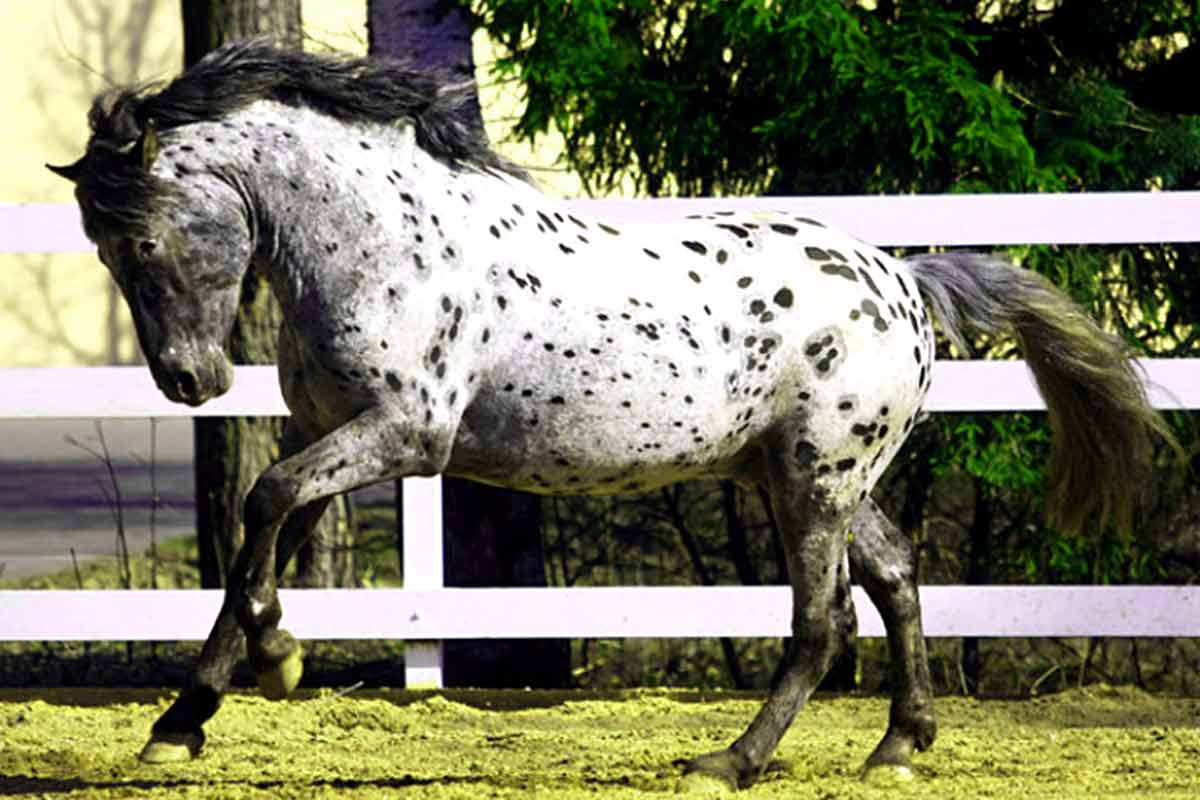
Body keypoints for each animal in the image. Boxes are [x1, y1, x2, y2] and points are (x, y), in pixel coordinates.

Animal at [48, 40, 1170, 790]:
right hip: (813, 474)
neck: (382, 241)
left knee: (823, 621)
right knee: (895, 574)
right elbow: (260, 540)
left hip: (813, 480)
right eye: (99, 249)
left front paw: (271, 667)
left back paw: (730, 760)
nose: (190, 382)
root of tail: (905, 278)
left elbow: (265, 506)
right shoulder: (332, 432)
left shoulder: (407, 434)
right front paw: (187, 717)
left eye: (141, 241)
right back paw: (897, 745)